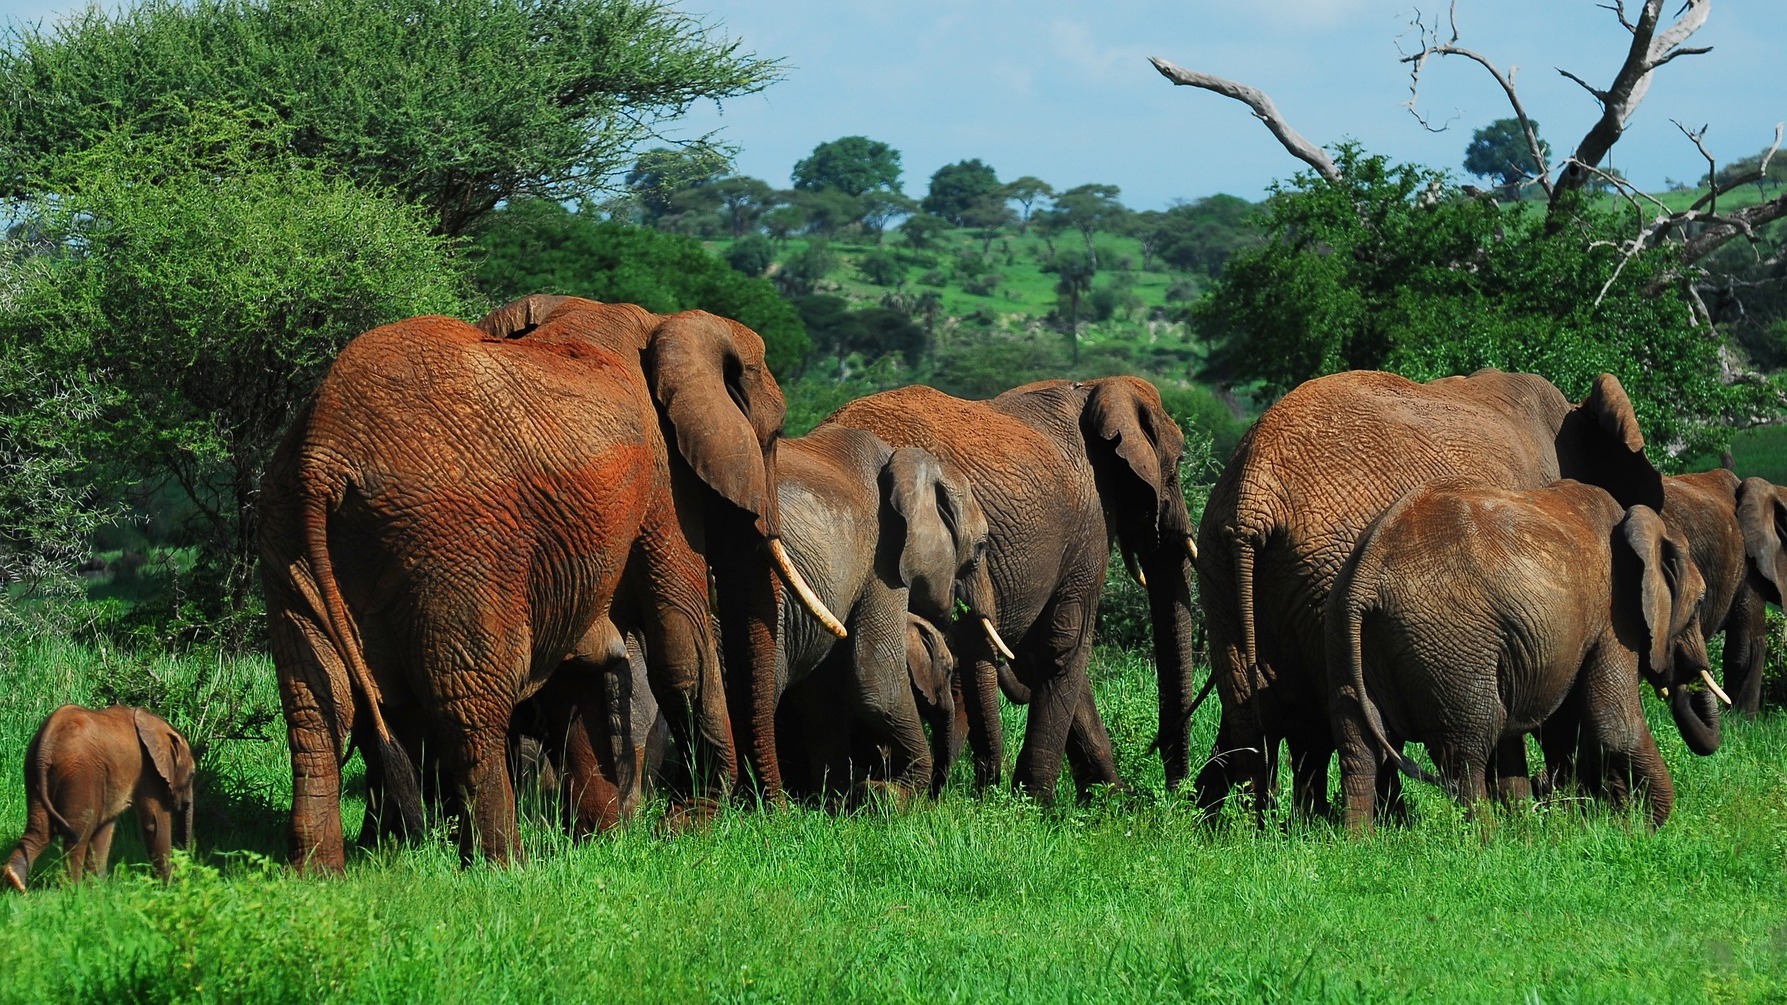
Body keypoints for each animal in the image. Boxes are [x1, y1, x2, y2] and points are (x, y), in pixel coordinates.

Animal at [1, 700, 195, 886]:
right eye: (192, 774)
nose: (184, 872)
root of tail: (45, 745)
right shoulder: (149, 770)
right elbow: (154, 822)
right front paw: (169, 886)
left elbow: (105, 825)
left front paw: (98, 887)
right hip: (79, 773)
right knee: (79, 831)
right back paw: (72, 888)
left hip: (33, 770)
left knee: (39, 830)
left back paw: (15, 881)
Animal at [260, 296, 839, 869]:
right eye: (773, 438)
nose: (779, 817)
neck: (663, 325)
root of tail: (324, 455)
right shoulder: (661, 482)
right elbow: (680, 642)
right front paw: (691, 827)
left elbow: (578, 665)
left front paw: (606, 841)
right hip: (455, 548)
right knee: (473, 705)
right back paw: (504, 867)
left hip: (287, 538)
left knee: (316, 705)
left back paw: (320, 873)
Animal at [761, 423, 1000, 797]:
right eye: (980, 548)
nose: (941, 794)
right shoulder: (883, 556)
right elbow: (876, 677)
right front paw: (897, 794)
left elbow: (823, 692)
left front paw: (835, 797)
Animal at [825, 375, 1200, 797]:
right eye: (1178, 464)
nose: (1177, 790)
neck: (1095, 389)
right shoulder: (1090, 524)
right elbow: (1065, 642)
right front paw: (1039, 800)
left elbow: (1047, 649)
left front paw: (1107, 799)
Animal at [1329, 475, 1715, 829]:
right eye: (1699, 603)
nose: (1686, 682)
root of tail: (1367, 569)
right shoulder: (1613, 614)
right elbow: (1614, 725)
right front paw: (1638, 830)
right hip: (1451, 643)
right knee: (1467, 750)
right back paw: (1485, 841)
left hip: (1346, 640)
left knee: (1359, 749)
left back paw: (1360, 842)